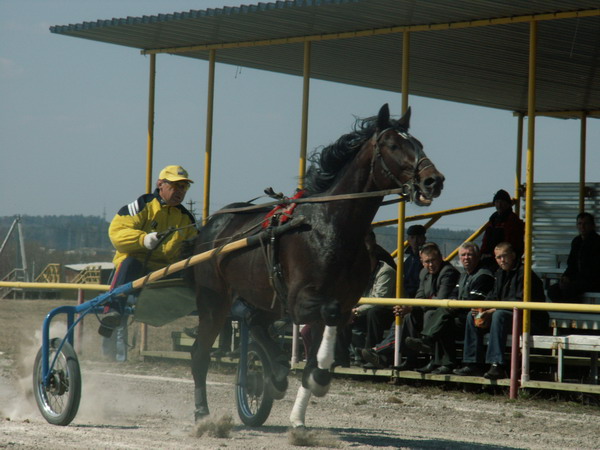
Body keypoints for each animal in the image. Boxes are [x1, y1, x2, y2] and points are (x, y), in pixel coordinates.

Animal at [190, 103, 442, 428]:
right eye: (393, 145)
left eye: (419, 143)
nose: (433, 180)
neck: (331, 227)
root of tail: (212, 225)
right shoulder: (301, 300)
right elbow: (327, 317)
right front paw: (316, 377)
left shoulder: (345, 301)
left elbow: (323, 343)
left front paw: (300, 412)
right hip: (214, 300)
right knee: (201, 353)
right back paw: (203, 413)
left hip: (263, 297)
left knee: (255, 321)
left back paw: (275, 373)